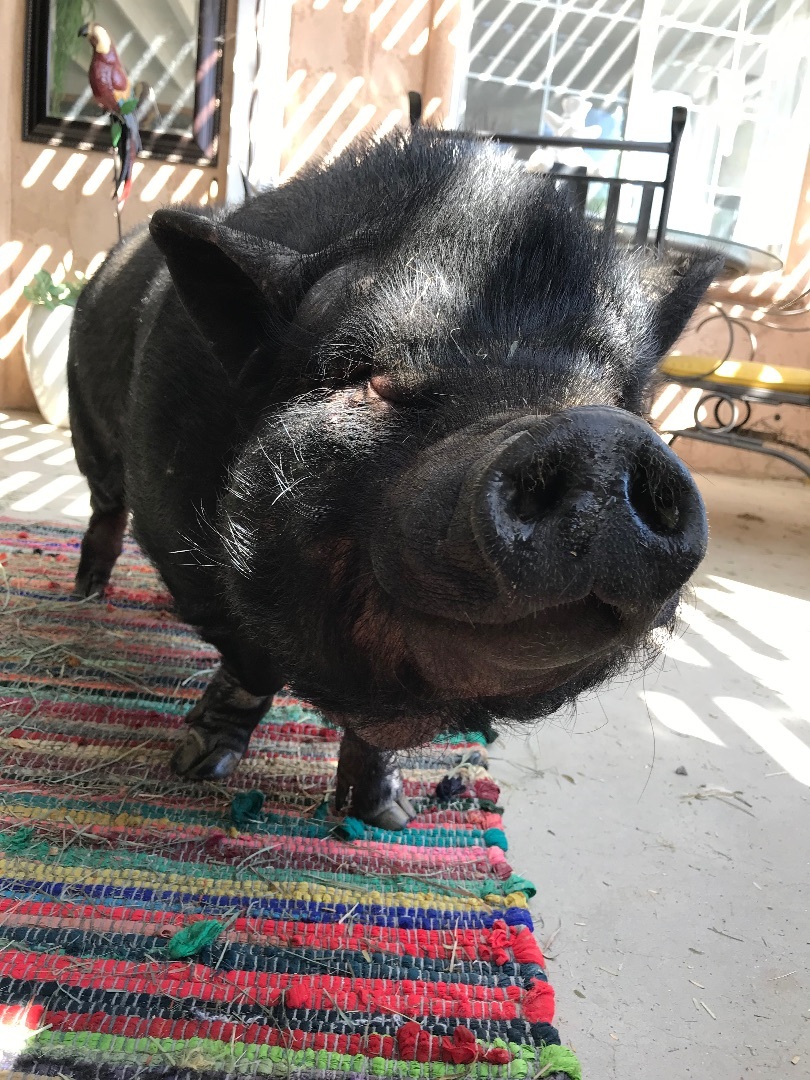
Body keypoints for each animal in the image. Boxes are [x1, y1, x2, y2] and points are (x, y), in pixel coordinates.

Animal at [67, 126, 720, 828]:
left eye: (625, 398)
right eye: (374, 379)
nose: (601, 440)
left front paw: (388, 817)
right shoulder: (185, 556)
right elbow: (252, 663)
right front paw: (196, 768)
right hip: (89, 431)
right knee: (104, 508)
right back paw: (85, 596)